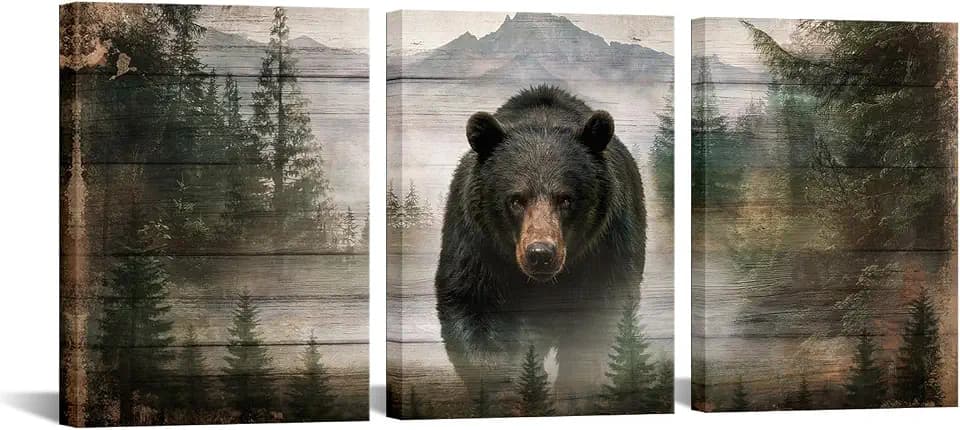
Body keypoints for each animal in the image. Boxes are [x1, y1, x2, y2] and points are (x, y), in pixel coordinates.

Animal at [434, 85, 646, 415]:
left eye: (566, 199)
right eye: (516, 199)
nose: (540, 254)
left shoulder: (607, 243)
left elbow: (601, 315)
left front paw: (573, 393)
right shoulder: (476, 241)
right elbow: (471, 304)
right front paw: (507, 394)